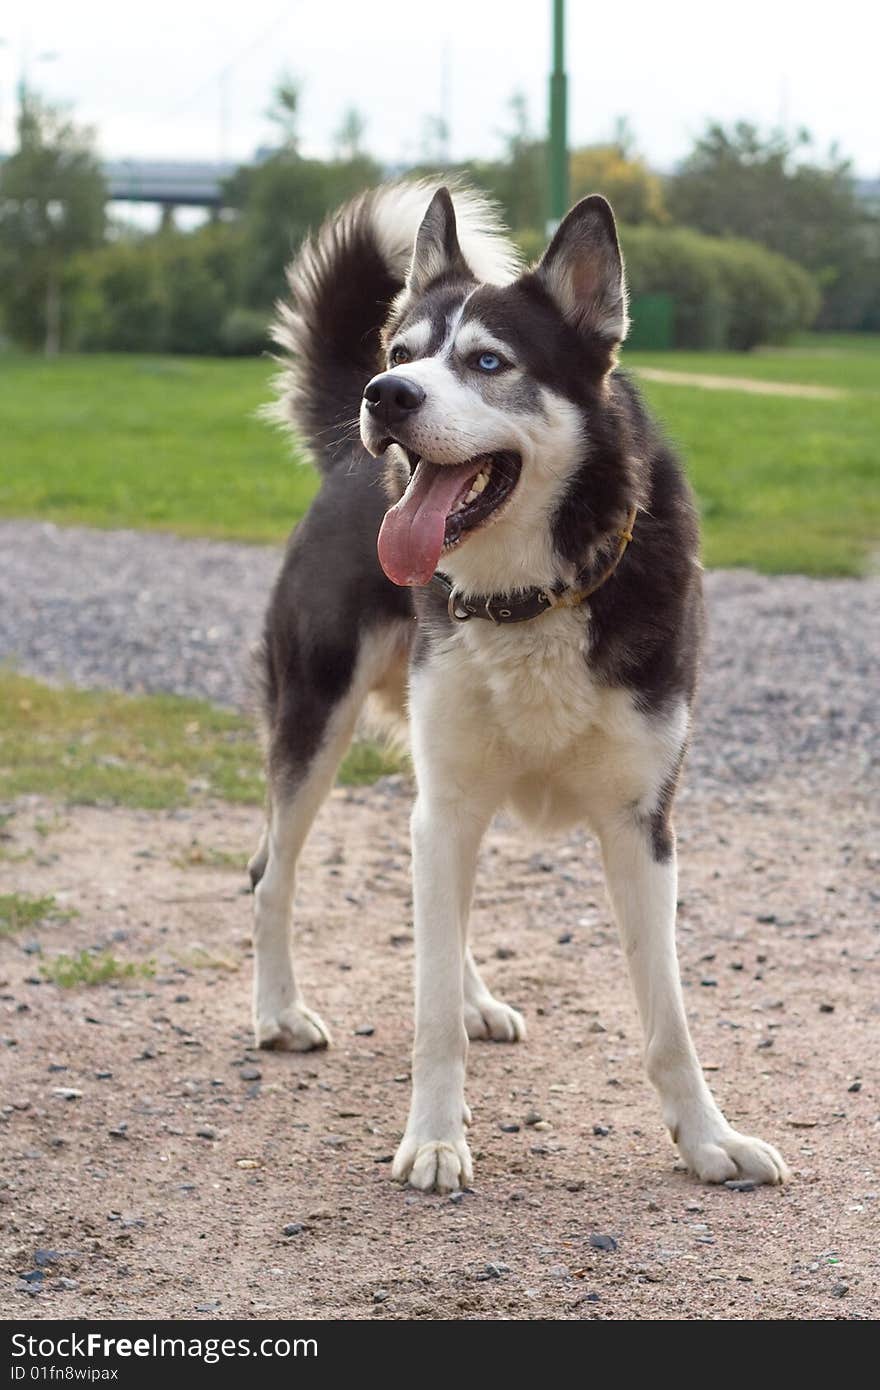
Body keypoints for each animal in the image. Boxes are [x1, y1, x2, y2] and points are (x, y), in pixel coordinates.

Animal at [248, 176, 789, 1195]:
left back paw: (472, 997)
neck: (531, 594)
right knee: (273, 872)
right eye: (405, 353)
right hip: (318, 722)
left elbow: (669, 1021)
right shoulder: (453, 799)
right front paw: (433, 1138)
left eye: (488, 361)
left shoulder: (641, 826)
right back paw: (278, 1013)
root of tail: (347, 457)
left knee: (436, 902)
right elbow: (424, 1016)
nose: (387, 393)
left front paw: (709, 1141)